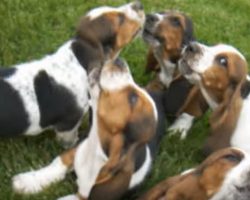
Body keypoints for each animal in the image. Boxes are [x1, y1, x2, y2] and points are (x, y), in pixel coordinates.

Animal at [12, 58, 164, 200]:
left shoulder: (83, 196)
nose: (119, 61)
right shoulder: (76, 149)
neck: (95, 149)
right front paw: (26, 182)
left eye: (133, 98)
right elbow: (57, 164)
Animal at [142, 10, 208, 139]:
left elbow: (189, 111)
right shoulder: (159, 79)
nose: (148, 16)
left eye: (176, 21)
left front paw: (178, 129)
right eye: (161, 12)